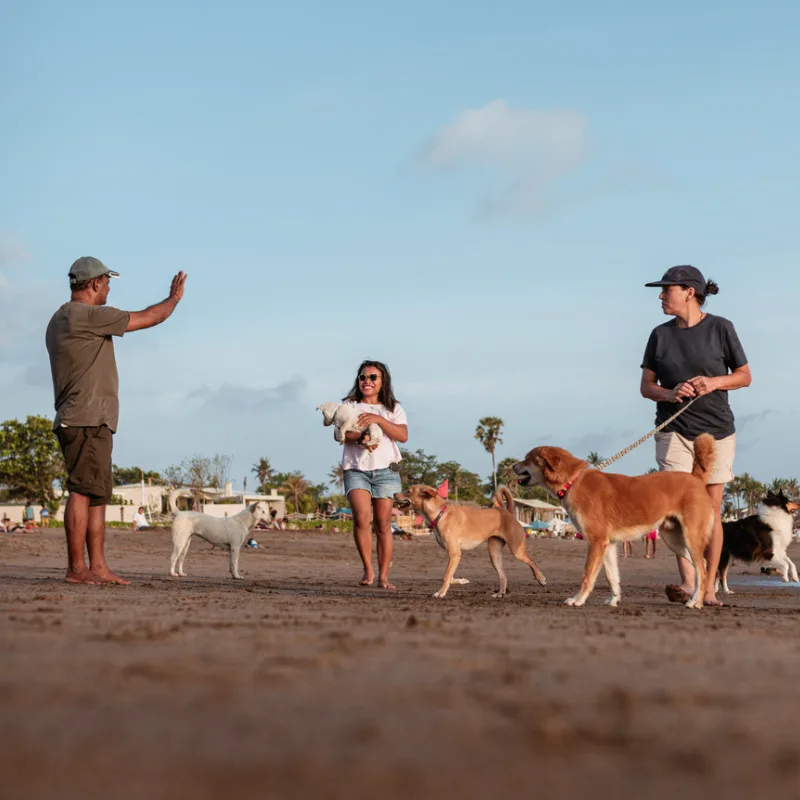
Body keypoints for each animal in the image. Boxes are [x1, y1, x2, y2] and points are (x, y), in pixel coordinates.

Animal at [392, 484, 548, 596]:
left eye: (408, 491)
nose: (393, 494)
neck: (440, 513)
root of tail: (507, 512)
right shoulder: (454, 555)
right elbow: (450, 575)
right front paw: (461, 581)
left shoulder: (454, 554)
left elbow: (446, 576)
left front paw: (441, 592)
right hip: (494, 554)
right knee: (503, 575)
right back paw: (500, 593)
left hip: (516, 550)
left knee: (531, 561)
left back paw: (540, 578)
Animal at [516, 438, 716, 608]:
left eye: (527, 459)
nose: (512, 466)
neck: (573, 482)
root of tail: (696, 478)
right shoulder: (608, 545)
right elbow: (612, 577)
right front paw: (614, 599)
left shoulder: (596, 542)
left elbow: (587, 575)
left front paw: (578, 599)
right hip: (674, 540)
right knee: (703, 566)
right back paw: (696, 597)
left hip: (690, 537)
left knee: (702, 569)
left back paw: (696, 602)